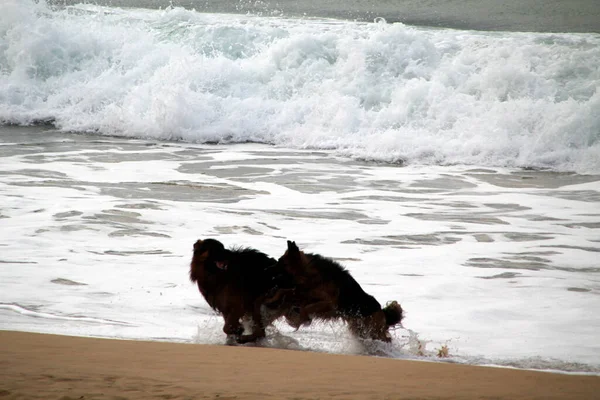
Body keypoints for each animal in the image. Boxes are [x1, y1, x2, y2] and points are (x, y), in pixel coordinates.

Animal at [274, 241, 404, 340]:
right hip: (359, 329)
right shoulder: (303, 294)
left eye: (280, 263)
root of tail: (383, 312)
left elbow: (307, 308)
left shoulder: (329, 304)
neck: (308, 273)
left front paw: (301, 319)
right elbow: (294, 297)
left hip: (372, 330)